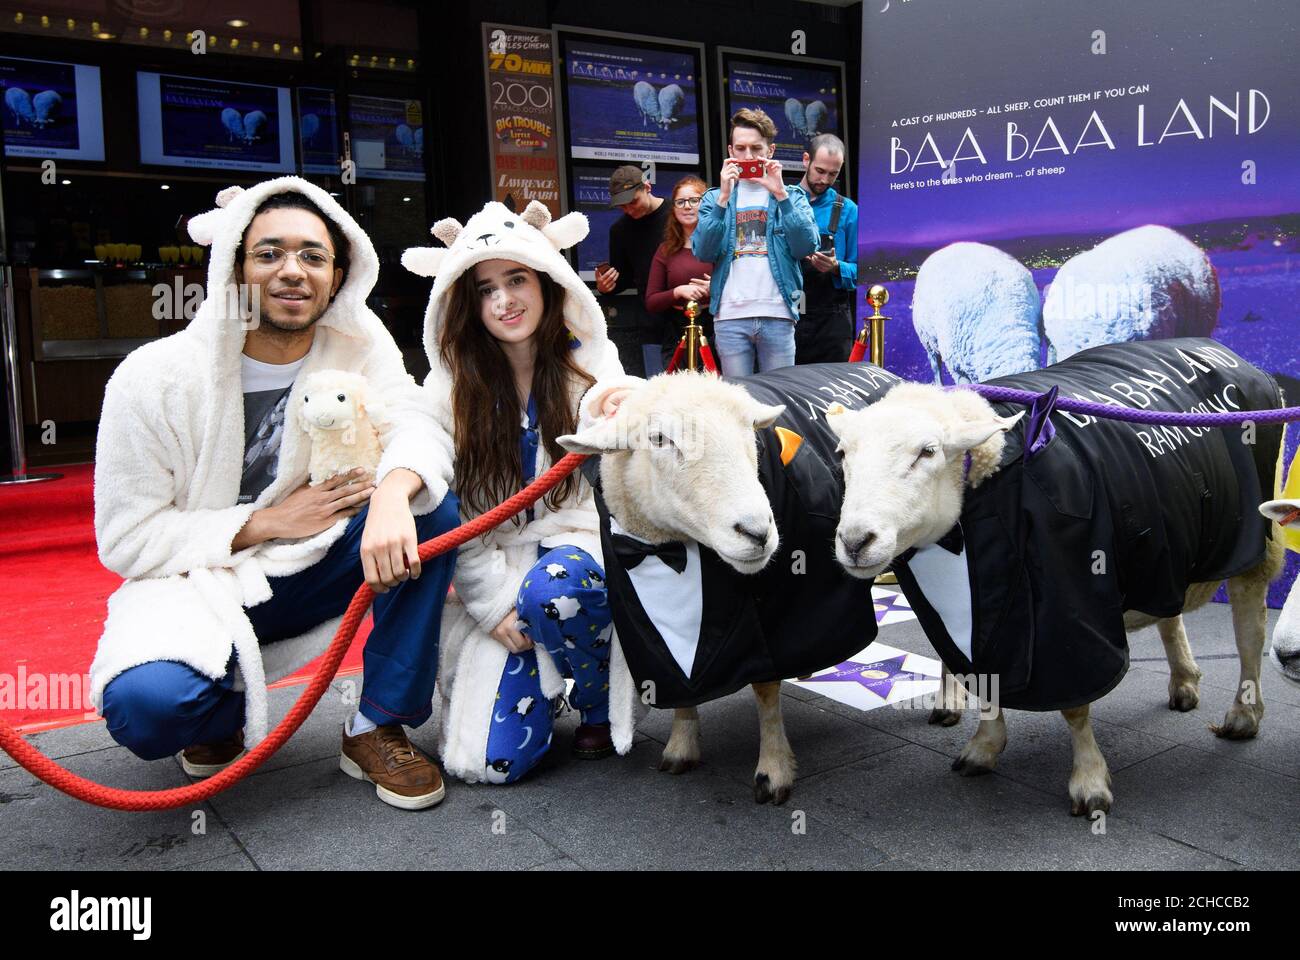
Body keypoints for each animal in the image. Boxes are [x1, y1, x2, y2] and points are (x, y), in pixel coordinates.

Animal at [559, 359, 904, 801]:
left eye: (749, 433)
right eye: (658, 438)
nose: (757, 532)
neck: (672, 551)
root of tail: (875, 367)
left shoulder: (778, 610)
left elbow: (766, 688)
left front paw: (773, 770)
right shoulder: (640, 617)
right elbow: (679, 680)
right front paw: (681, 746)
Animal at [826, 335, 1284, 816]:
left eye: (927, 452)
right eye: (842, 455)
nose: (855, 541)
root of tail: (1222, 349)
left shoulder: (1071, 607)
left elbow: (1074, 706)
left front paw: (1089, 781)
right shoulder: (973, 611)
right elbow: (982, 673)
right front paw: (984, 746)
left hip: (1255, 539)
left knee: (1249, 631)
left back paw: (1243, 714)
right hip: (1163, 539)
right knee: (1170, 612)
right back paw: (1184, 681)